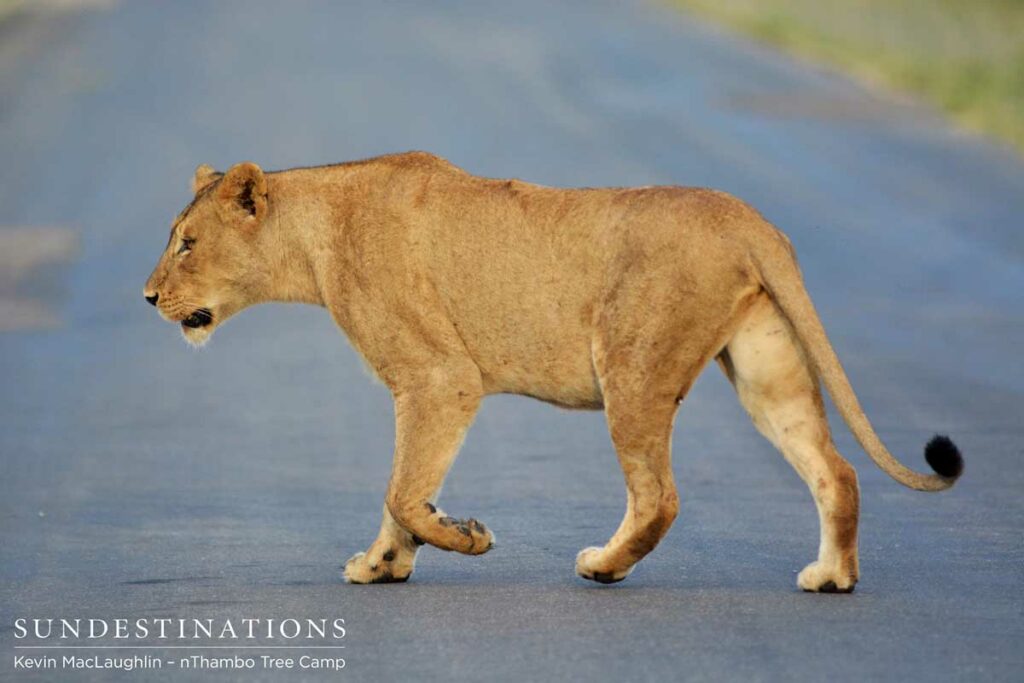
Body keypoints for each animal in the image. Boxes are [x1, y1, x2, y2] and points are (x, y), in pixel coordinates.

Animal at [144, 152, 963, 591]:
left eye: (187, 242)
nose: (147, 296)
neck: (315, 237)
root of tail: (748, 217)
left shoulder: (439, 377)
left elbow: (403, 490)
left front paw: (464, 538)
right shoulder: (428, 388)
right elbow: (402, 489)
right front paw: (383, 565)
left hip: (631, 365)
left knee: (659, 496)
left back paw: (603, 565)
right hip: (766, 368)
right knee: (836, 471)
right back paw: (833, 577)